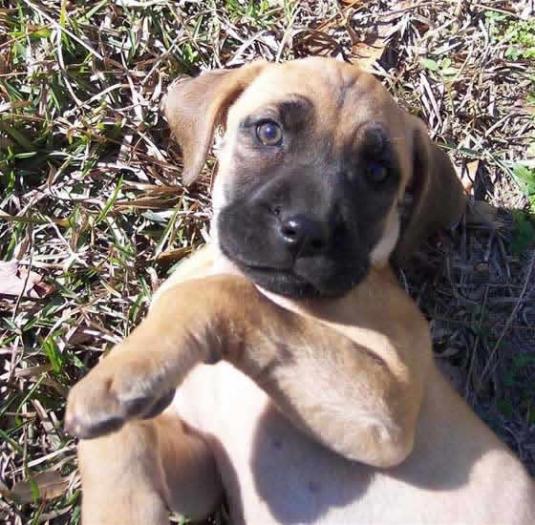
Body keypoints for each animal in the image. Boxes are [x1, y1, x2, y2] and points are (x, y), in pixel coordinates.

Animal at [65, 58, 532, 524]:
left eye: (378, 172)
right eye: (269, 131)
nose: (306, 231)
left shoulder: (388, 410)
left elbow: (223, 294)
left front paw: (118, 374)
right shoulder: (200, 476)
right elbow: (118, 439)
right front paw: (120, 500)